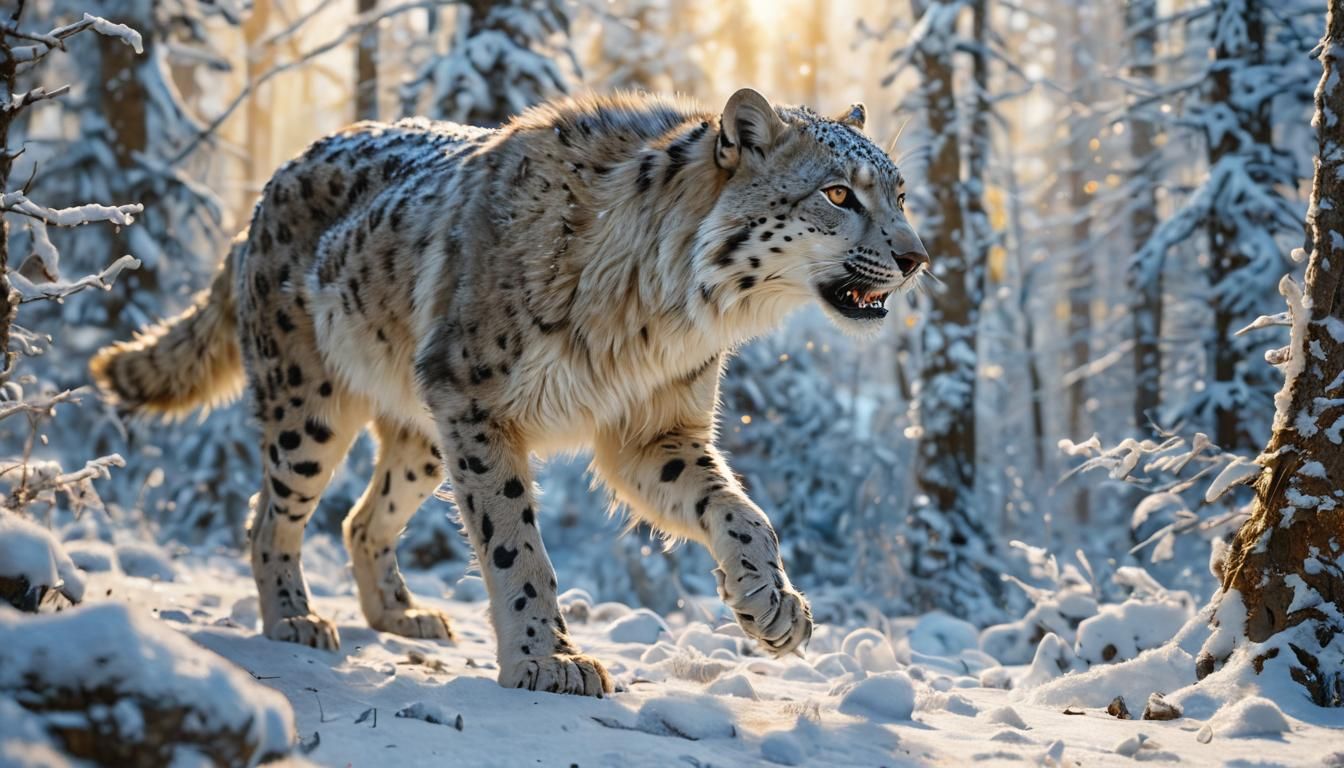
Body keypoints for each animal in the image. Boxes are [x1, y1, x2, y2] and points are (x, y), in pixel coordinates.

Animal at [90, 88, 929, 697]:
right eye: (838, 194)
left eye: (900, 194)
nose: (917, 256)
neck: (666, 316)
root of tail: (265, 194)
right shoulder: (480, 404)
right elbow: (514, 542)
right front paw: (546, 661)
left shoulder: (654, 430)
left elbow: (741, 511)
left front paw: (772, 607)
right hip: (314, 408)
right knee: (271, 513)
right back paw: (295, 620)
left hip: (424, 435)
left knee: (364, 517)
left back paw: (402, 616)